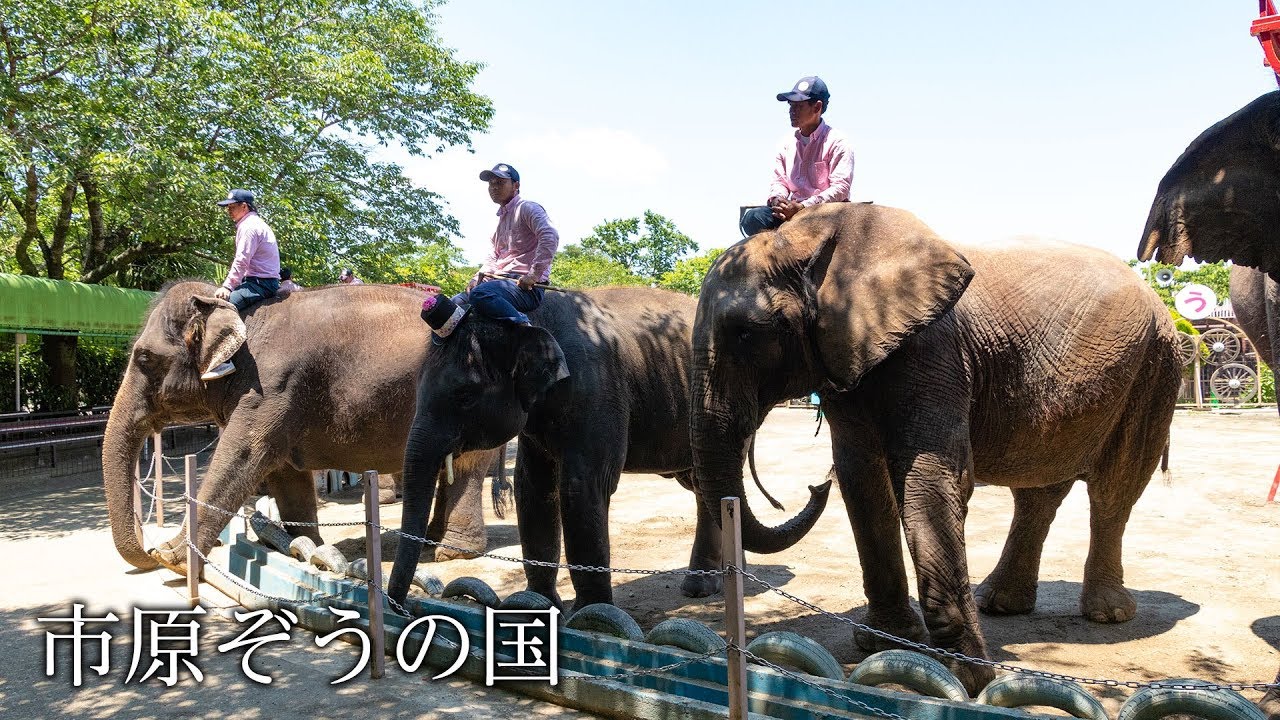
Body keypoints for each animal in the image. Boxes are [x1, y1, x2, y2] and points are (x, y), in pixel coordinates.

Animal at [102, 280, 501, 571]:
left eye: (144, 357)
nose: (148, 550)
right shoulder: (278, 400)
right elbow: (283, 472)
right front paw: (307, 549)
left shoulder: (270, 386)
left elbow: (242, 455)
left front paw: (173, 559)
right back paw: (433, 539)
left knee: (468, 465)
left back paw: (452, 552)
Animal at [384, 285, 793, 609]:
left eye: (465, 396)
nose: (399, 608)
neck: (530, 314)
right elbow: (534, 489)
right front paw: (539, 604)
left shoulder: (595, 389)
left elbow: (582, 488)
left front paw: (592, 616)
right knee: (702, 484)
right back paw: (730, 574)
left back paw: (702, 587)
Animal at [691, 199, 1177, 691]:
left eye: (745, 333)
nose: (812, 487)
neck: (812, 233)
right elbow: (861, 478)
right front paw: (886, 643)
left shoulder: (933, 348)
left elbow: (929, 477)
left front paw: (966, 675)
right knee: (1039, 490)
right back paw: (1000, 603)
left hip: (1156, 366)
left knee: (1114, 488)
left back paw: (1107, 614)